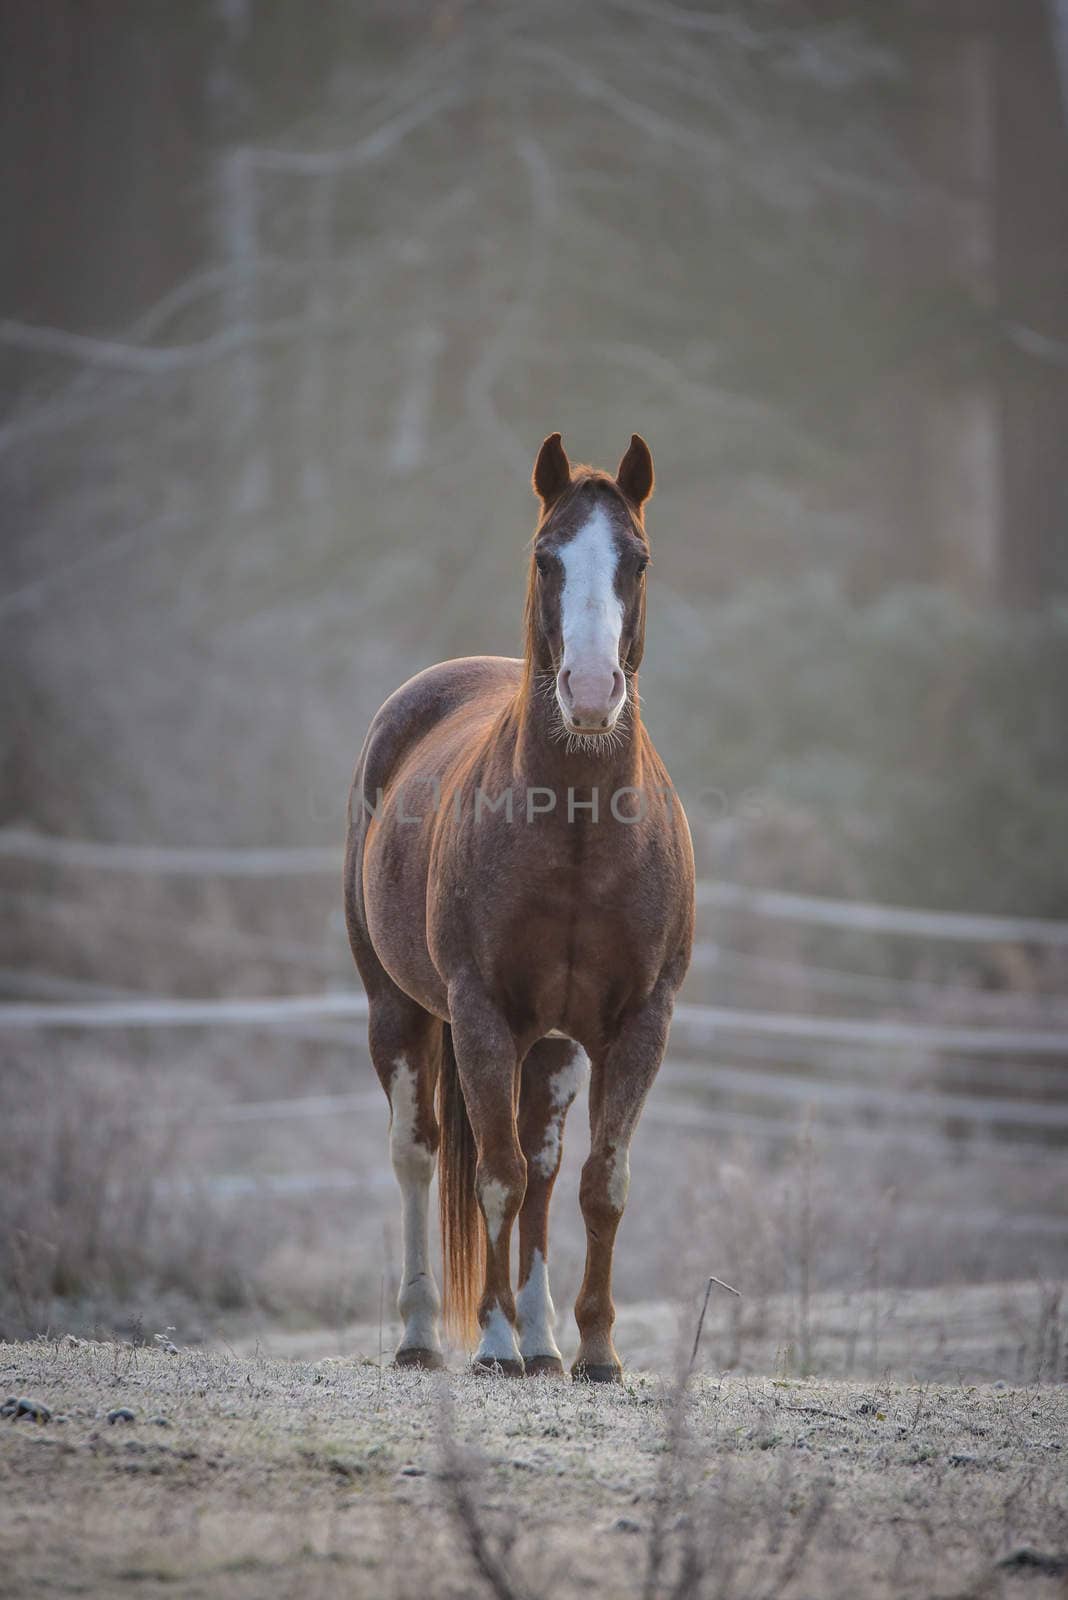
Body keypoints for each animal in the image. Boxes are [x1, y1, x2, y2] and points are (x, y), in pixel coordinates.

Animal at [342, 432, 693, 1382]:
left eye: (638, 560)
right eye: (545, 558)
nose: (590, 691)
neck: (575, 830)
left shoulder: (639, 1023)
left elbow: (599, 1183)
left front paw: (598, 1350)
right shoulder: (481, 1015)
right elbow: (492, 1175)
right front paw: (494, 1341)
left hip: (556, 1046)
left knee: (544, 1166)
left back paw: (544, 1341)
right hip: (398, 1013)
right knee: (421, 1155)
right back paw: (428, 1334)